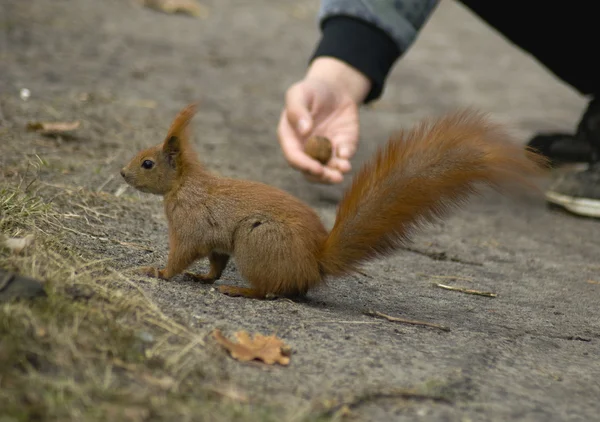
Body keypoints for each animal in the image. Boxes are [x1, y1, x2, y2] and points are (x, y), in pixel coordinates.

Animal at [120, 103, 548, 298]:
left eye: (147, 163)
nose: (122, 174)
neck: (183, 185)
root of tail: (313, 263)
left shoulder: (190, 223)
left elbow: (182, 253)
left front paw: (157, 272)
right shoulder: (215, 241)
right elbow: (214, 261)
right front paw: (202, 277)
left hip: (258, 240)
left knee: (272, 291)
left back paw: (241, 291)